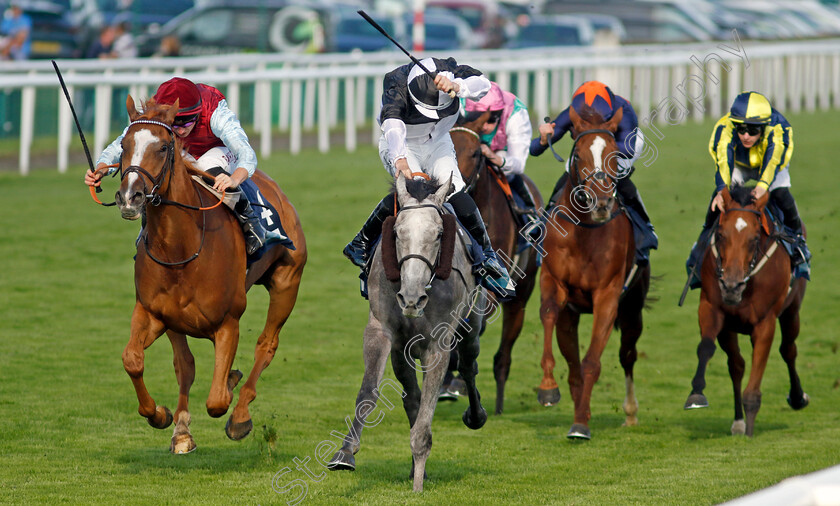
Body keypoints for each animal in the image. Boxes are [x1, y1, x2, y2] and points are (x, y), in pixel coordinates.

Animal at [111, 97, 306, 452]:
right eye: (123, 145)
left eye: (163, 147)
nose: (130, 197)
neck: (181, 249)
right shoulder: (154, 313)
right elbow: (136, 359)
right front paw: (163, 416)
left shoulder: (228, 322)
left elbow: (216, 401)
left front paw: (230, 392)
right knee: (185, 365)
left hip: (287, 282)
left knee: (266, 345)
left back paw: (240, 414)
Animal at [326, 173, 486, 490]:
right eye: (398, 232)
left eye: (438, 234)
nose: (411, 298)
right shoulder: (383, 331)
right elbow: (370, 391)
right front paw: (345, 452)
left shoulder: (438, 343)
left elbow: (426, 412)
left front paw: (418, 484)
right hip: (403, 350)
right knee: (411, 396)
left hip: (471, 323)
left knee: (468, 366)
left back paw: (476, 416)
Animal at [540, 106, 648, 438]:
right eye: (579, 155)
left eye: (615, 153)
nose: (601, 202)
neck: (584, 232)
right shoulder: (553, 282)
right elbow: (548, 312)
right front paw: (548, 388)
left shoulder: (608, 296)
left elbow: (592, 362)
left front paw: (580, 425)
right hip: (571, 317)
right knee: (573, 366)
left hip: (633, 309)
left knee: (627, 355)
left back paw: (629, 412)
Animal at [684, 184, 812, 436]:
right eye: (720, 235)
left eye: (754, 239)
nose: (731, 286)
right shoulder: (713, 310)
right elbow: (706, 348)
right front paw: (696, 395)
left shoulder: (765, 322)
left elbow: (755, 381)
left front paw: (751, 432)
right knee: (737, 365)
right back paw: (738, 421)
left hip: (792, 310)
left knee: (788, 350)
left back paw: (797, 397)